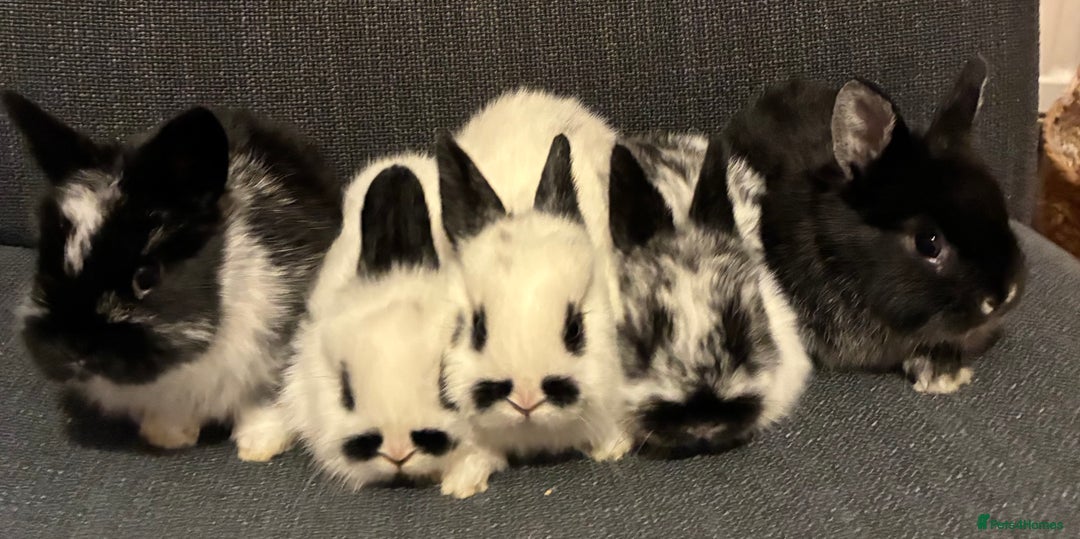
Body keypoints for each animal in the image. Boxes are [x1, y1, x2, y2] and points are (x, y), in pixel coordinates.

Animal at [3, 92, 341, 459]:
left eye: (146, 277)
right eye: (45, 262)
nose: (72, 349)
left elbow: (268, 398)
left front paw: (259, 446)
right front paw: (168, 436)